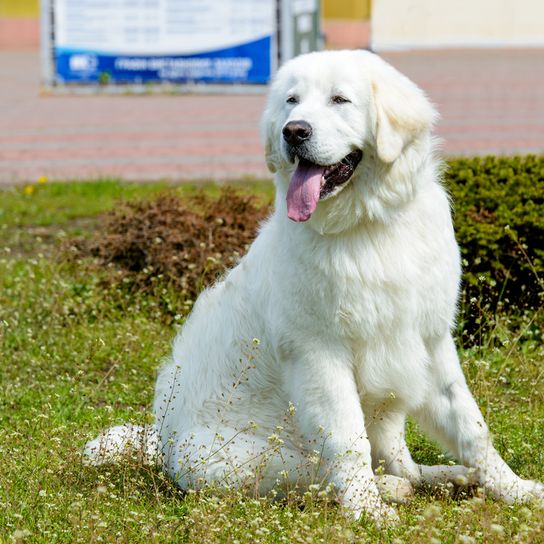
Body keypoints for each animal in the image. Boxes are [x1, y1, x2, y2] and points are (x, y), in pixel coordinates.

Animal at [84, 50, 540, 524]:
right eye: (292, 101)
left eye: (340, 99)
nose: (294, 131)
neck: (367, 225)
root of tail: (160, 443)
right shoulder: (320, 356)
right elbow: (347, 441)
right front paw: (367, 510)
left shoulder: (428, 343)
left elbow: (472, 427)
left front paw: (514, 489)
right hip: (250, 457)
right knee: (319, 474)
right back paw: (389, 490)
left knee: (400, 462)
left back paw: (447, 477)